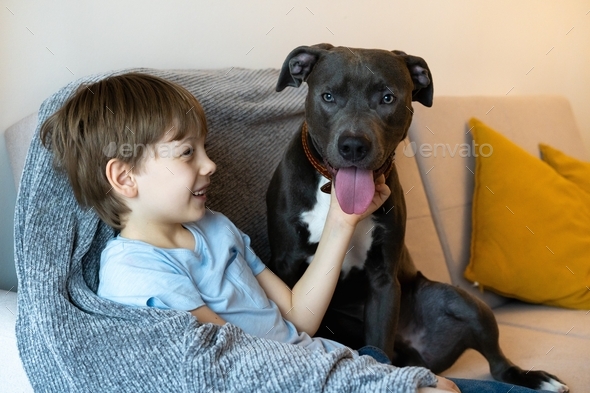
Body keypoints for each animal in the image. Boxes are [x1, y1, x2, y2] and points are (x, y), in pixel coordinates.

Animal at [268, 44, 568, 390]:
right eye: (328, 96)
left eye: (387, 98)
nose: (354, 145)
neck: (332, 196)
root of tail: (415, 351)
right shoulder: (286, 266)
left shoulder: (383, 279)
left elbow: (378, 343)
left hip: (463, 302)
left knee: (497, 363)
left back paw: (534, 378)